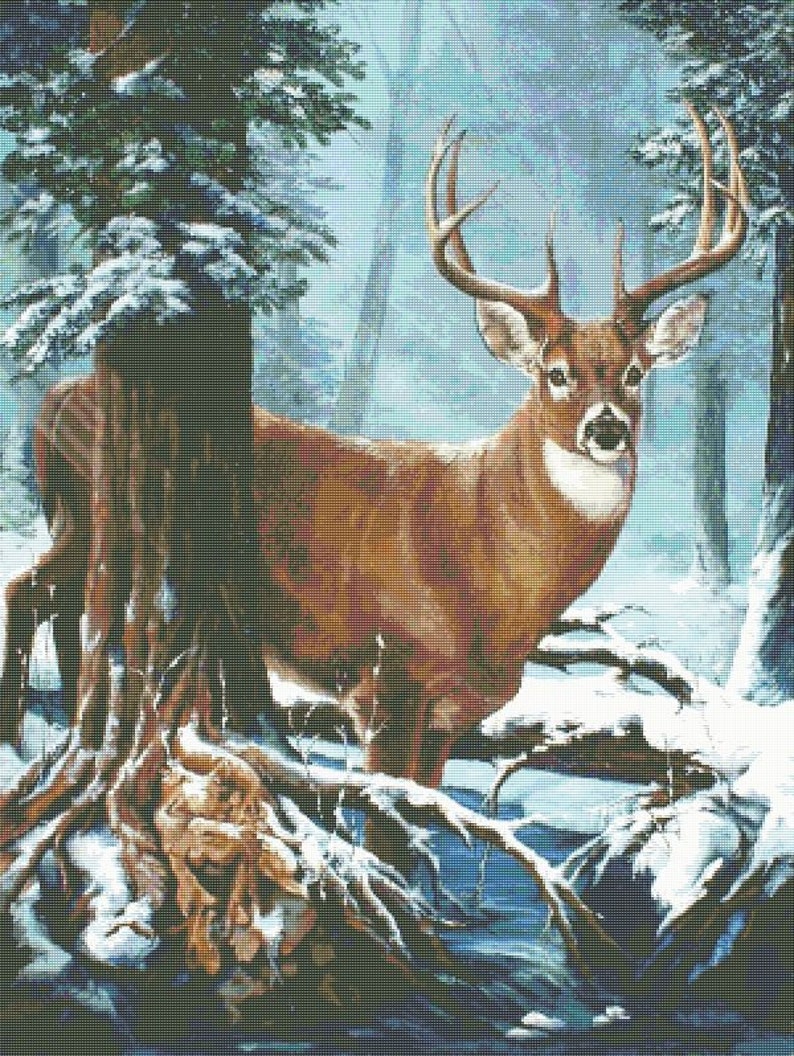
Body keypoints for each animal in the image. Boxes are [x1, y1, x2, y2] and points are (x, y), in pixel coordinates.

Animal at [1, 104, 747, 829]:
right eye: (555, 373)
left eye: (635, 373)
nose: (606, 428)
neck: (494, 571)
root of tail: (55, 400)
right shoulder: (386, 679)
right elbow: (394, 817)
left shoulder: (451, 711)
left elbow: (428, 805)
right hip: (98, 515)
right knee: (34, 592)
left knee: (60, 605)